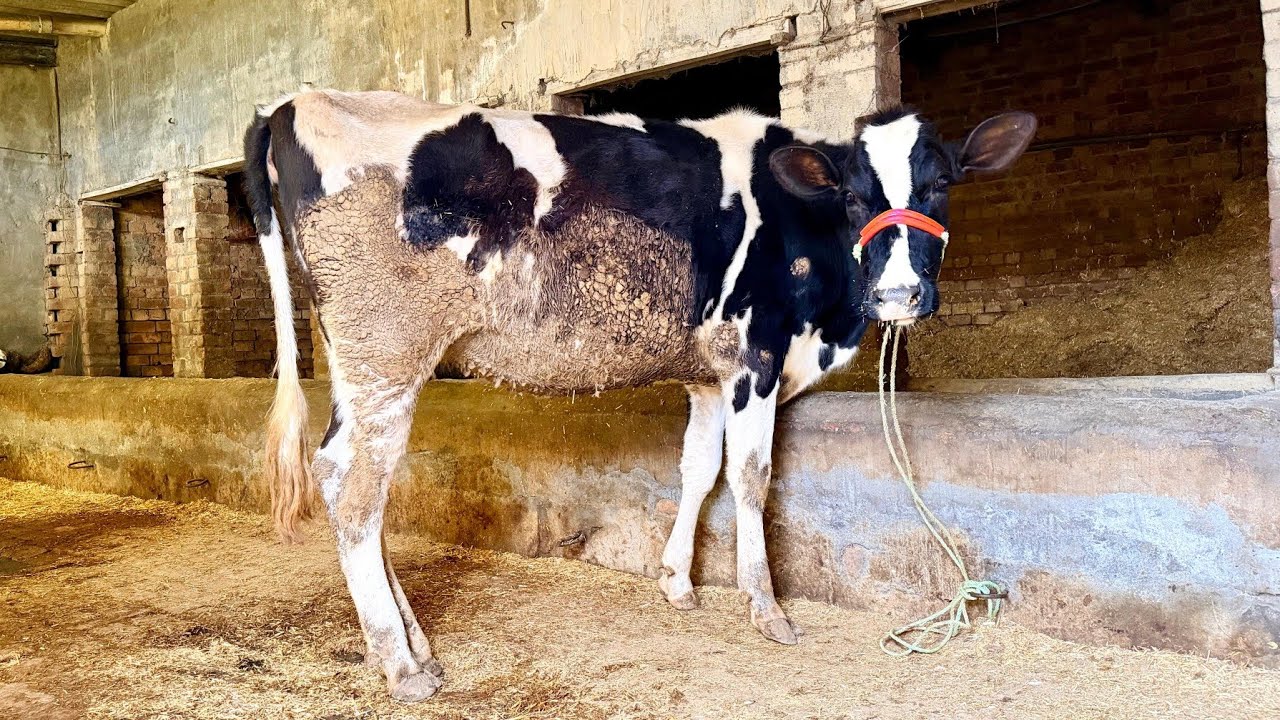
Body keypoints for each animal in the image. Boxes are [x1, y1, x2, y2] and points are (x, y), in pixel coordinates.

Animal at [242, 89, 1035, 701]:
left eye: (940, 185)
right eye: (853, 194)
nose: (899, 293)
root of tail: (292, 102)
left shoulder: (708, 372)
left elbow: (698, 471)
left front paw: (677, 582)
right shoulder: (757, 354)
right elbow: (751, 478)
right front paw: (765, 607)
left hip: (362, 359)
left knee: (349, 481)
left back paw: (413, 644)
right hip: (387, 350)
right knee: (353, 485)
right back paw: (401, 663)